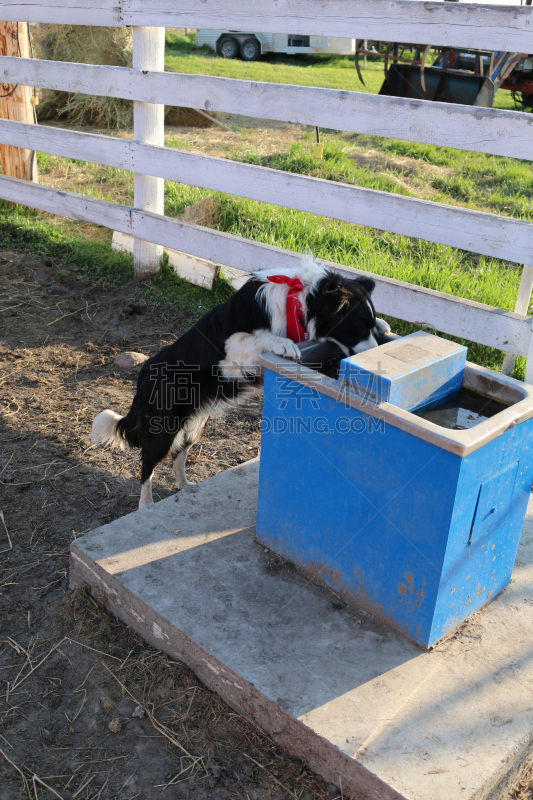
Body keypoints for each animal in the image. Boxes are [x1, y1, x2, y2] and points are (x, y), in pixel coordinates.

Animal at [89, 258, 384, 506]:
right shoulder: (229, 352)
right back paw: (146, 506)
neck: (299, 301)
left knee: (178, 456)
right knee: (147, 466)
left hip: (194, 424)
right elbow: (259, 337)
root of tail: (144, 376)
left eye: (369, 327)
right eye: (358, 328)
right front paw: (283, 343)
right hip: (164, 427)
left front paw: (384, 323)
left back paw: (186, 487)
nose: (372, 354)